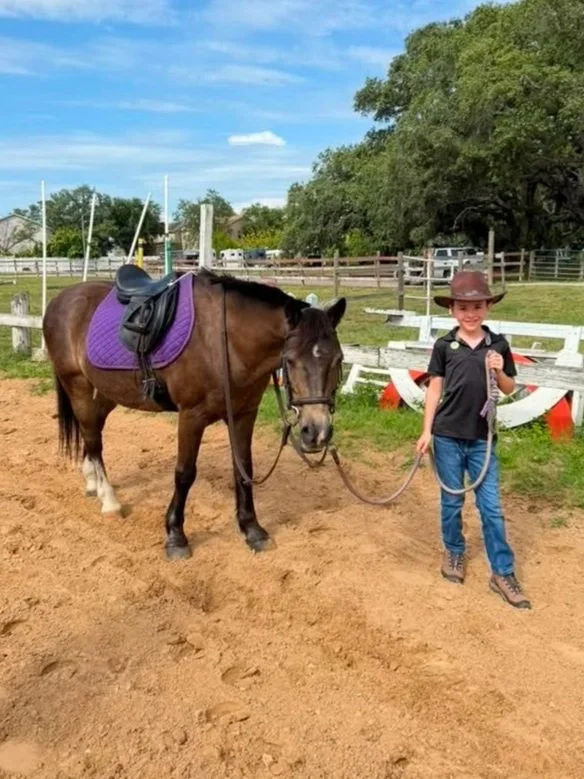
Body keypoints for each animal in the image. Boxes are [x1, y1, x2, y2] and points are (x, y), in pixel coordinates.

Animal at [42, 267, 346, 560]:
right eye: (291, 360)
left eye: (339, 359)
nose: (316, 432)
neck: (224, 342)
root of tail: (60, 299)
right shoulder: (191, 416)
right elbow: (185, 473)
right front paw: (176, 536)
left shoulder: (244, 414)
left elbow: (243, 469)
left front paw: (252, 530)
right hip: (77, 385)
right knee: (93, 438)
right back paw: (109, 500)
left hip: (108, 392)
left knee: (91, 429)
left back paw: (92, 481)